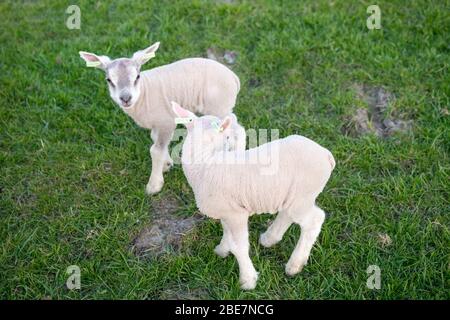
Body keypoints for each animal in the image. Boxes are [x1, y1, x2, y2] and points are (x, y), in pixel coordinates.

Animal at [80, 42, 243, 195]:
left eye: (137, 77)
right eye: (109, 80)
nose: (125, 98)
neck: (143, 94)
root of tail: (234, 77)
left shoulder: (166, 121)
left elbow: (156, 150)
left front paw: (154, 185)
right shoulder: (158, 124)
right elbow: (157, 140)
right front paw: (167, 164)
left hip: (219, 106)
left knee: (237, 129)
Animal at [172, 102, 334, 290]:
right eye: (228, 137)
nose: (233, 146)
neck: (205, 163)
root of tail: (326, 154)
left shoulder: (236, 214)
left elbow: (239, 246)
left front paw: (247, 280)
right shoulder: (227, 211)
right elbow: (228, 234)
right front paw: (222, 250)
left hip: (303, 195)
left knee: (314, 220)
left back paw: (294, 265)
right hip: (294, 195)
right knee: (287, 213)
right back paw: (269, 239)